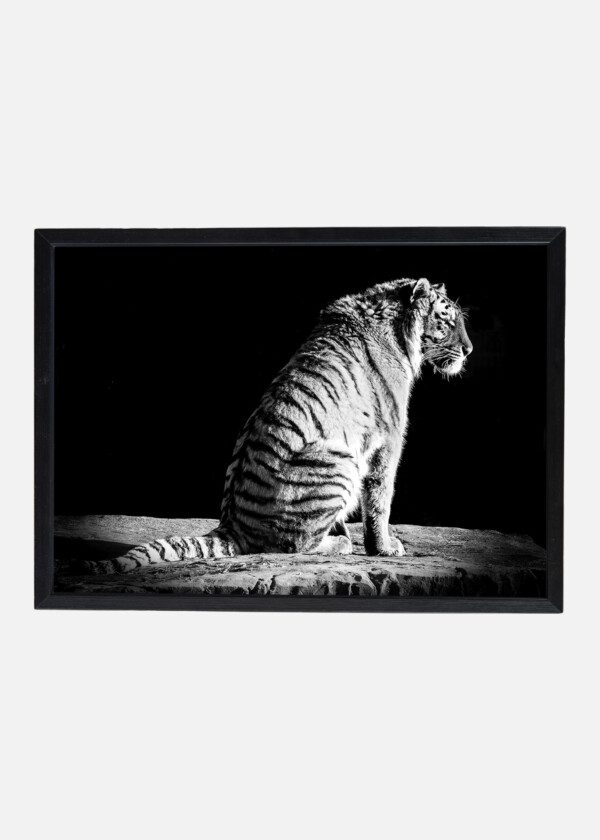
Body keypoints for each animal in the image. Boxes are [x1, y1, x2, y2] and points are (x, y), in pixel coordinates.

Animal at [92, 277, 472, 573]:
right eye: (447, 320)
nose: (469, 350)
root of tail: (233, 526)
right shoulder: (388, 440)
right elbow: (380, 498)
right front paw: (386, 548)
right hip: (340, 462)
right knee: (296, 545)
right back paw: (340, 542)